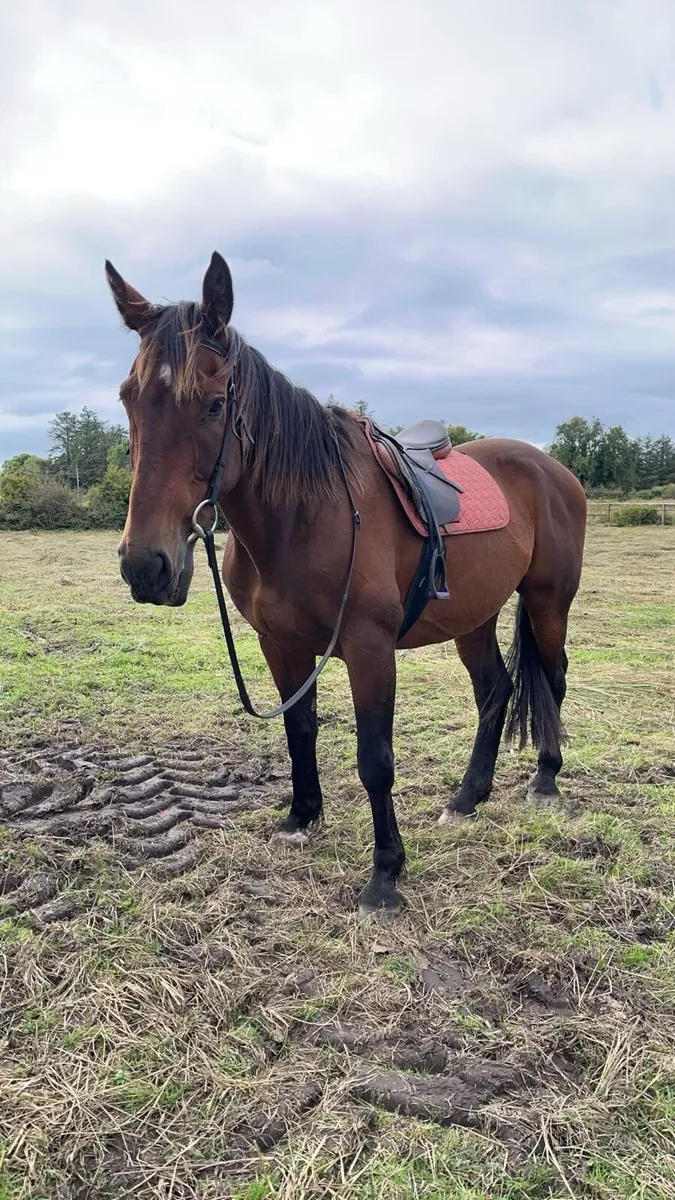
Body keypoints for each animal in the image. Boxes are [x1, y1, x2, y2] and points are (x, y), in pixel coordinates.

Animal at [106, 252, 587, 916]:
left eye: (212, 403)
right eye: (129, 398)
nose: (145, 566)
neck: (305, 515)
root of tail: (552, 468)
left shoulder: (368, 646)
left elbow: (375, 759)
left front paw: (385, 875)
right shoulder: (280, 645)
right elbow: (298, 729)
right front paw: (301, 818)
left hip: (548, 602)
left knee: (553, 679)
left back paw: (544, 780)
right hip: (475, 616)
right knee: (496, 690)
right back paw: (467, 799)